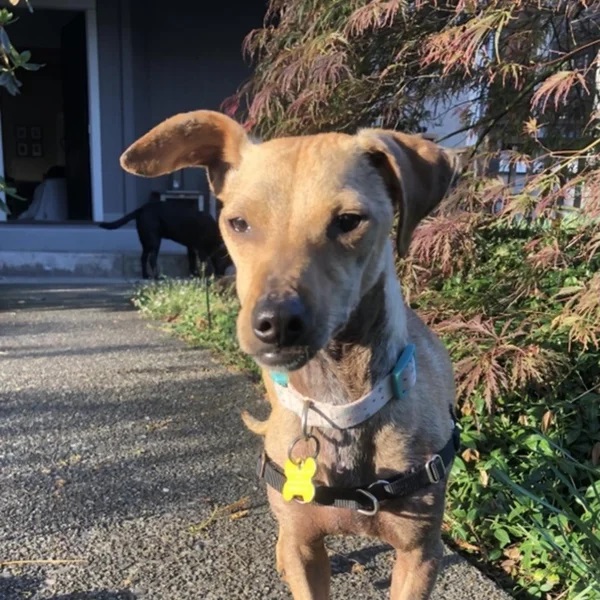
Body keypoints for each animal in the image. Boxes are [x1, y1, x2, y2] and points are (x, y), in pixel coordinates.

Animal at [98, 199, 230, 278]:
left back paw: (145, 275)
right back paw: (157, 277)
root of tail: (142, 208)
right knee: (152, 259)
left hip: (146, 242)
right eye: (225, 264)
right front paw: (202, 276)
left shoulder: (190, 247)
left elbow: (192, 261)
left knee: (143, 258)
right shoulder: (201, 249)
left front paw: (194, 274)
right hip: (155, 241)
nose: (222, 275)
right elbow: (202, 263)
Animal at [120, 110, 460, 596]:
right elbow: (298, 552)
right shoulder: (306, 547)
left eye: (349, 220)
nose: (275, 323)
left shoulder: (419, 555)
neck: (339, 406)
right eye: (238, 222)